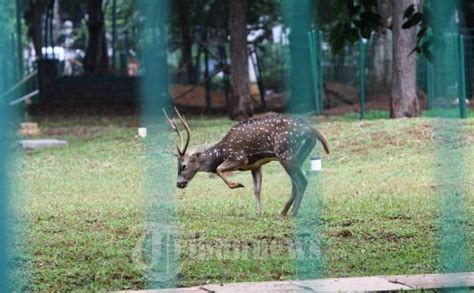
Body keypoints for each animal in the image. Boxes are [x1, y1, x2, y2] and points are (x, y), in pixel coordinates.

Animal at [163, 107, 330, 217]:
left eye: (183, 165)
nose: (179, 183)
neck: (221, 152)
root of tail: (312, 130)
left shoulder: (239, 157)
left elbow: (218, 169)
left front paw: (237, 184)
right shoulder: (256, 166)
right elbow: (257, 189)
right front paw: (259, 213)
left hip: (287, 155)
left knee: (302, 181)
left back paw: (292, 213)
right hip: (297, 157)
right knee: (295, 184)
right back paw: (282, 212)